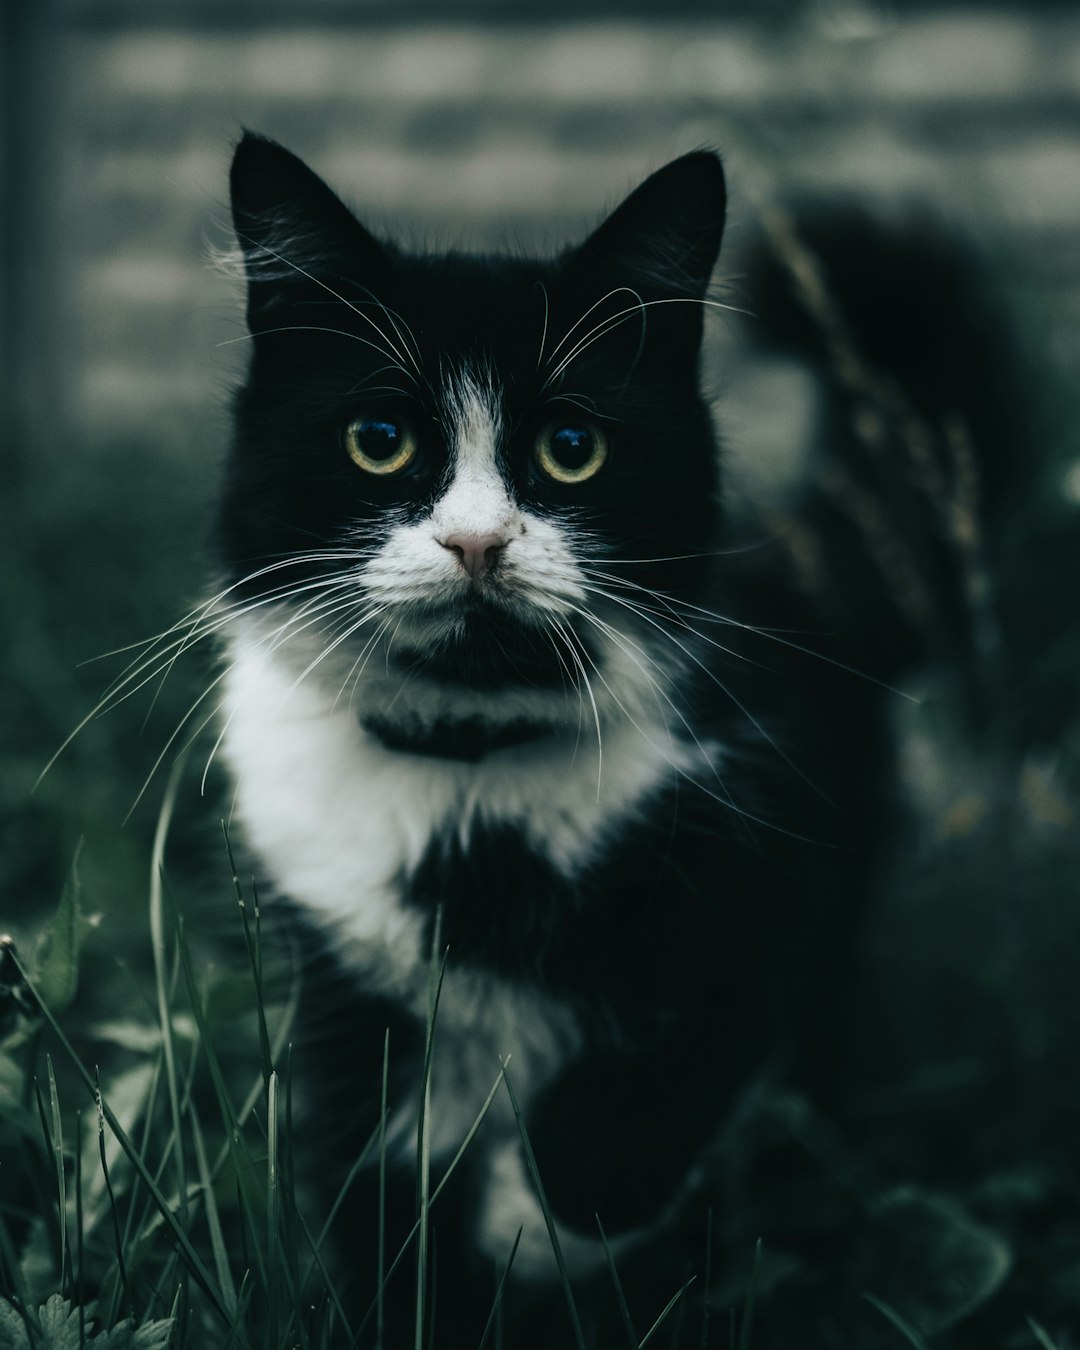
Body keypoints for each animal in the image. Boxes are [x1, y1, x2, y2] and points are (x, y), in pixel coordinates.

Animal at [217, 131, 993, 1344]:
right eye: (378, 442)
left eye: (571, 447)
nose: (478, 542)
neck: (473, 774)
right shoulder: (345, 995)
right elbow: (373, 1201)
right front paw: (428, 1285)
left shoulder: (758, 901)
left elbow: (618, 1128)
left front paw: (518, 1228)